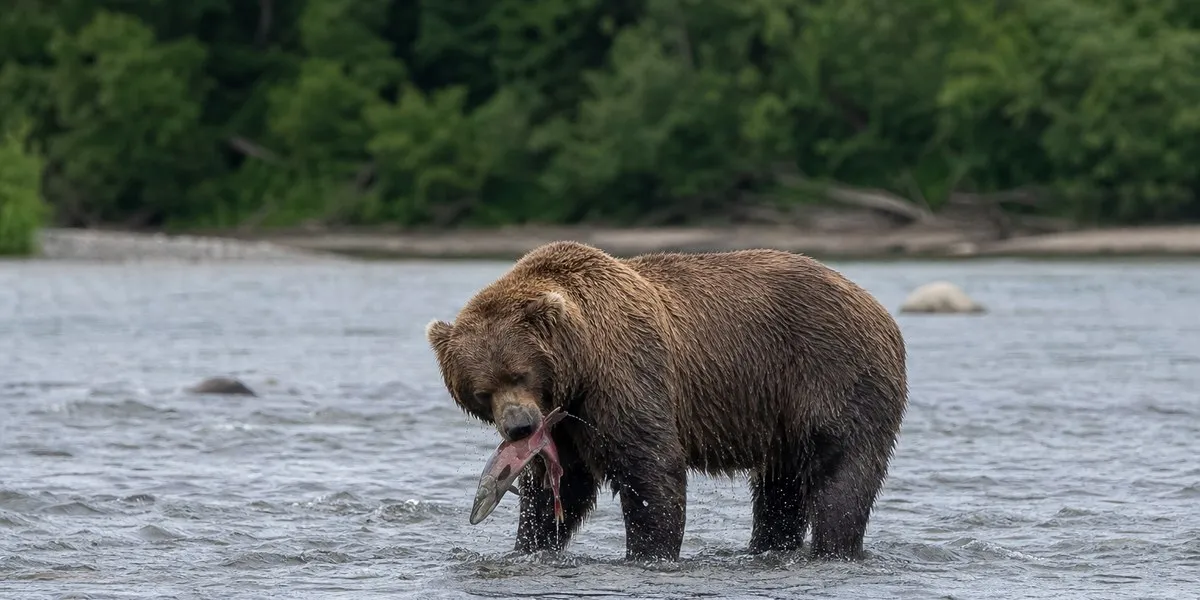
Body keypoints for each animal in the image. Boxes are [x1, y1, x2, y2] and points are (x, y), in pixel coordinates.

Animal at [425, 240, 907, 562]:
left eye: (520, 373)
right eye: (481, 391)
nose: (519, 427)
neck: (581, 362)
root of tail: (877, 306)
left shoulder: (625, 374)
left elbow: (649, 466)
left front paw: (649, 550)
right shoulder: (566, 424)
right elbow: (558, 488)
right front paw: (530, 543)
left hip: (834, 374)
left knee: (841, 476)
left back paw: (833, 548)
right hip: (782, 416)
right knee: (780, 490)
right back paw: (767, 548)